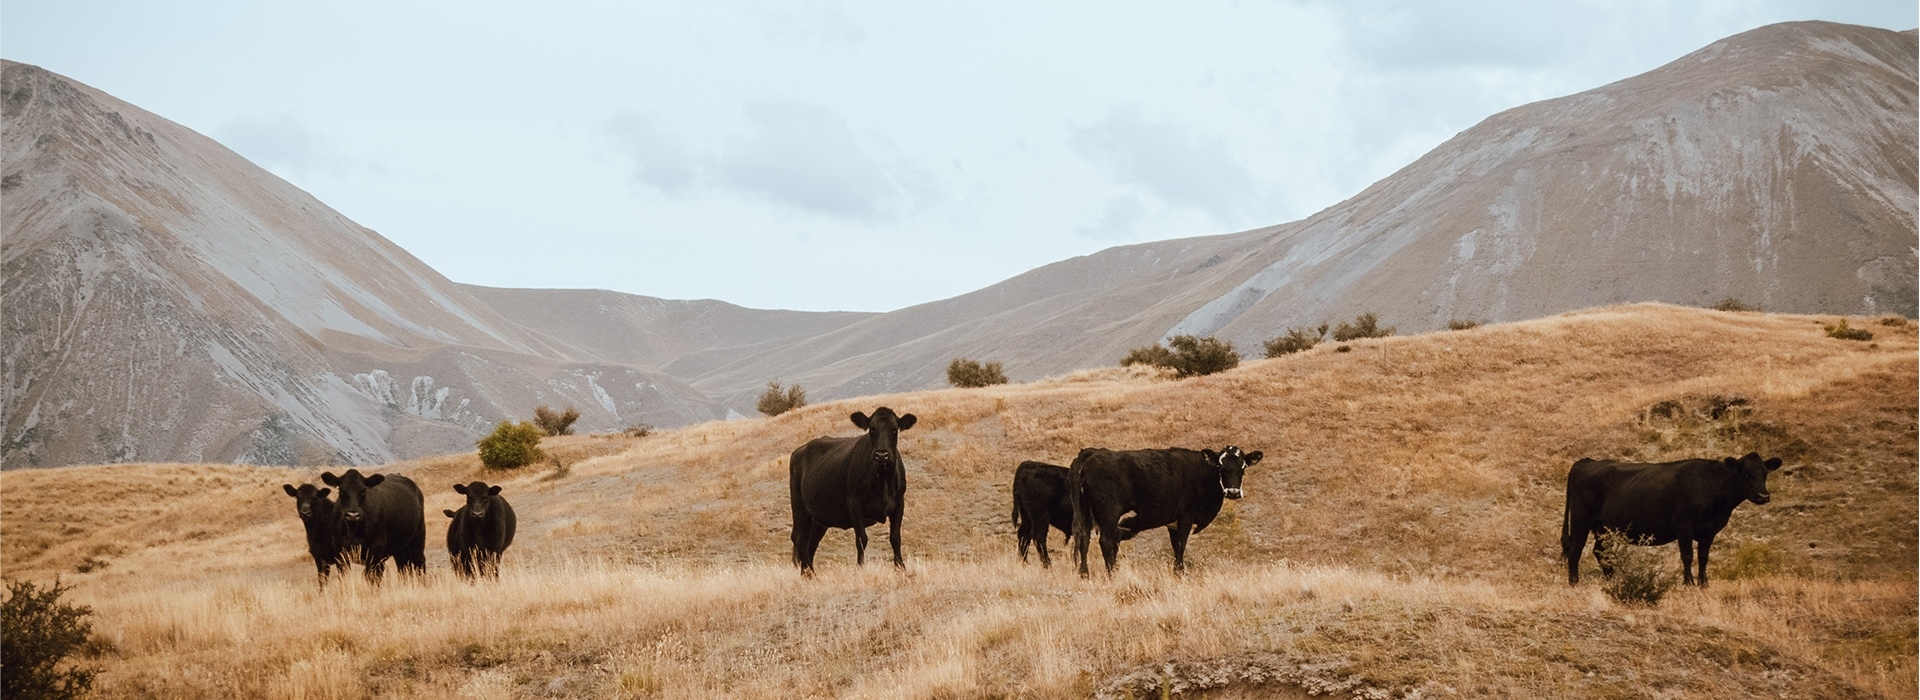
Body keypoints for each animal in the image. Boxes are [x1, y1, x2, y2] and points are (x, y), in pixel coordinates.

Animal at [788, 407, 917, 576]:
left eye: (894, 429)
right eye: (872, 429)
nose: (882, 454)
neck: (882, 480)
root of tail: (799, 450)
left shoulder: (899, 503)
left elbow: (895, 537)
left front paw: (900, 568)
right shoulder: (854, 503)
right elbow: (861, 539)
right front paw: (861, 568)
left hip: (819, 518)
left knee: (811, 543)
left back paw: (810, 574)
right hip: (799, 507)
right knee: (801, 539)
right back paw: (807, 575)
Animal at [1071, 445, 1264, 577]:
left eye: (1243, 467)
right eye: (1221, 467)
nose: (1233, 492)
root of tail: (1091, 453)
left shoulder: (1173, 523)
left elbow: (1175, 545)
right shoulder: (1186, 516)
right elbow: (1181, 544)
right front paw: (1180, 572)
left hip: (1084, 514)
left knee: (1083, 540)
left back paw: (1084, 574)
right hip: (1109, 515)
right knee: (1105, 542)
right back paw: (1112, 574)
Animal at [1561, 452, 1783, 587]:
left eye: (1765, 473)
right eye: (1745, 473)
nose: (1764, 496)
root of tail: (1587, 462)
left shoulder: (1709, 530)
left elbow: (1703, 557)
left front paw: (1704, 584)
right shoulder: (1683, 525)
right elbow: (1687, 555)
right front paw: (1689, 583)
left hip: (1603, 527)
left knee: (1600, 551)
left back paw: (1613, 579)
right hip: (1581, 519)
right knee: (1575, 548)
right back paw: (1574, 582)